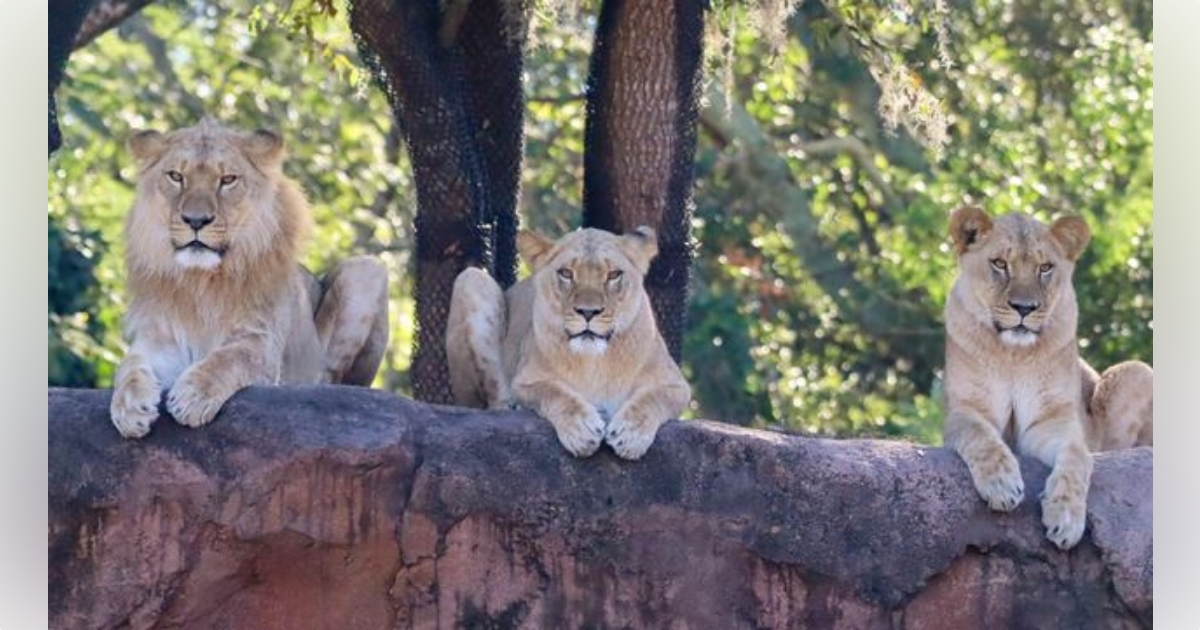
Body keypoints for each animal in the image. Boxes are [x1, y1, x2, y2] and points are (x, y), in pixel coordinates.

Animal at [108, 119, 388, 441]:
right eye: (176, 176)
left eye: (228, 179)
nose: (196, 220)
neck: (202, 282)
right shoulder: (158, 341)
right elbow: (129, 366)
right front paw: (129, 409)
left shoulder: (260, 342)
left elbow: (229, 358)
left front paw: (192, 397)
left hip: (365, 269)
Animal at [448, 225, 696, 456]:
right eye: (566, 273)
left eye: (613, 274)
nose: (588, 312)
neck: (594, 360)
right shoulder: (524, 382)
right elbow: (553, 391)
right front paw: (581, 428)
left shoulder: (677, 385)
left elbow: (655, 398)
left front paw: (630, 434)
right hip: (471, 278)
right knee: (493, 402)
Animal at [945, 204, 1152, 547]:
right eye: (999, 263)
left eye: (1045, 268)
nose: (1024, 308)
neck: (1012, 355)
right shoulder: (965, 409)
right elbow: (980, 437)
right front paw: (1002, 486)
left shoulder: (1051, 422)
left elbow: (1077, 458)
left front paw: (1065, 519)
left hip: (1136, 371)